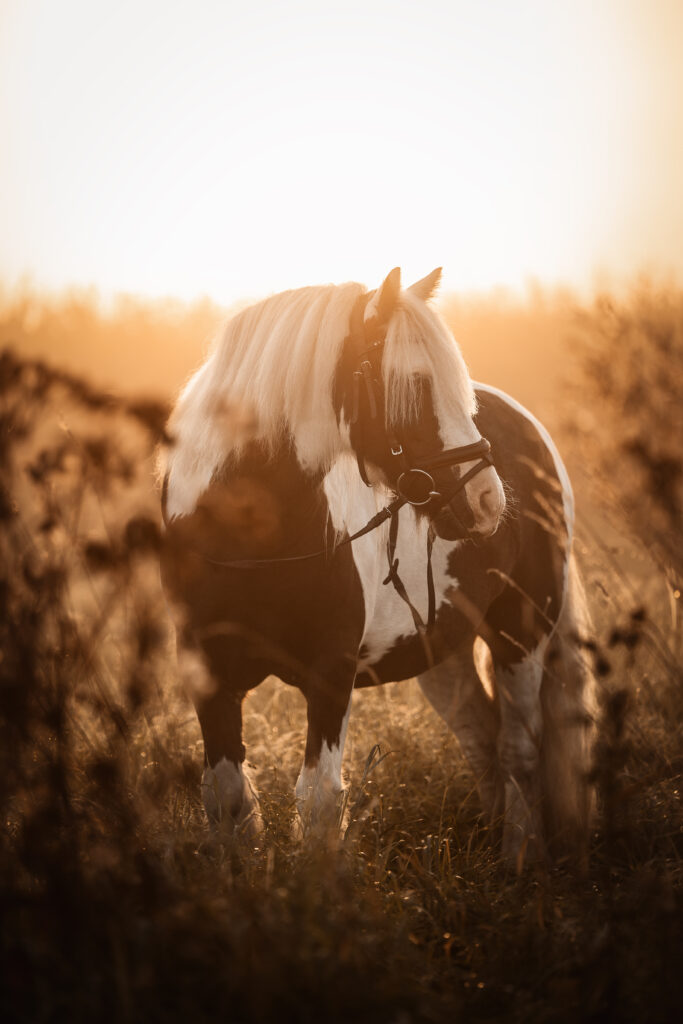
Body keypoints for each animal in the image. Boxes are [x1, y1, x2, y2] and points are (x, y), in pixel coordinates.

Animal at [160, 268, 593, 860]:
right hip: (443, 649)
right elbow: (227, 799)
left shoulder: (330, 675)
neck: (246, 539)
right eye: (415, 383)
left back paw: (518, 859)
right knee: (481, 735)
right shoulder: (211, 678)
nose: (487, 500)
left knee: (519, 748)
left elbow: (318, 801)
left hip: (520, 631)